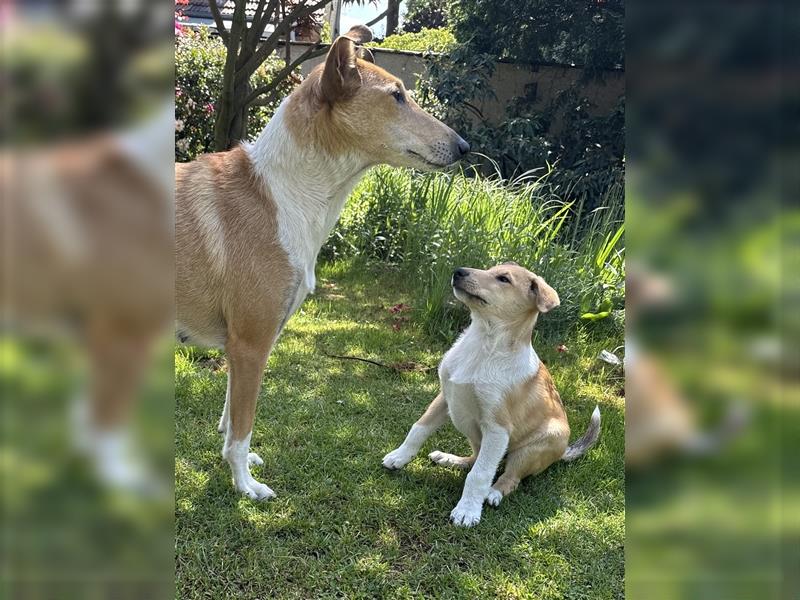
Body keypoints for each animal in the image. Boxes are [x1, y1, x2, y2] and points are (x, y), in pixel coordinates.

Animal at [172, 25, 466, 500]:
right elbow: (241, 429)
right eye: (397, 96)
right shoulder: (251, 344)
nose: (465, 146)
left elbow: (230, 420)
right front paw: (246, 486)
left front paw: (241, 469)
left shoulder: (244, 346)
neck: (284, 193)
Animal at [382, 262, 600, 524]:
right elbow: (418, 429)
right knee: (474, 459)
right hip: (475, 434)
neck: (484, 343)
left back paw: (493, 493)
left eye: (504, 279)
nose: (458, 271)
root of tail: (563, 452)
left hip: (535, 445)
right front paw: (399, 457)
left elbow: (480, 474)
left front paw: (467, 511)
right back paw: (449, 458)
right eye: (489, 269)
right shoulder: (444, 397)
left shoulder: (497, 428)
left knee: (509, 477)